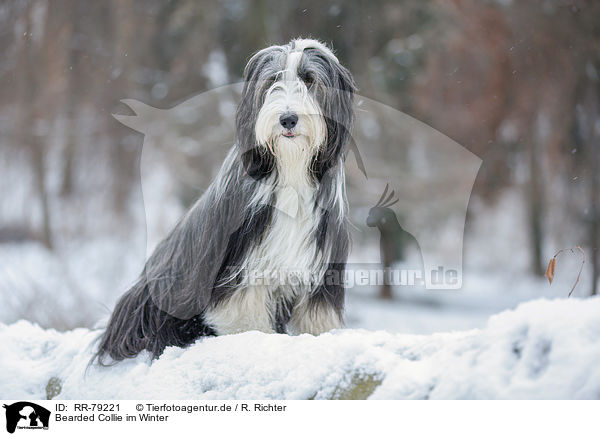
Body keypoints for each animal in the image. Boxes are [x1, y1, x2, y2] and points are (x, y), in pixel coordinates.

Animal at [94, 39, 356, 362]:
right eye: (273, 80)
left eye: (309, 80)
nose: (288, 119)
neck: (290, 169)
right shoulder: (240, 262)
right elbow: (243, 311)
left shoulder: (323, 265)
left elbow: (316, 314)